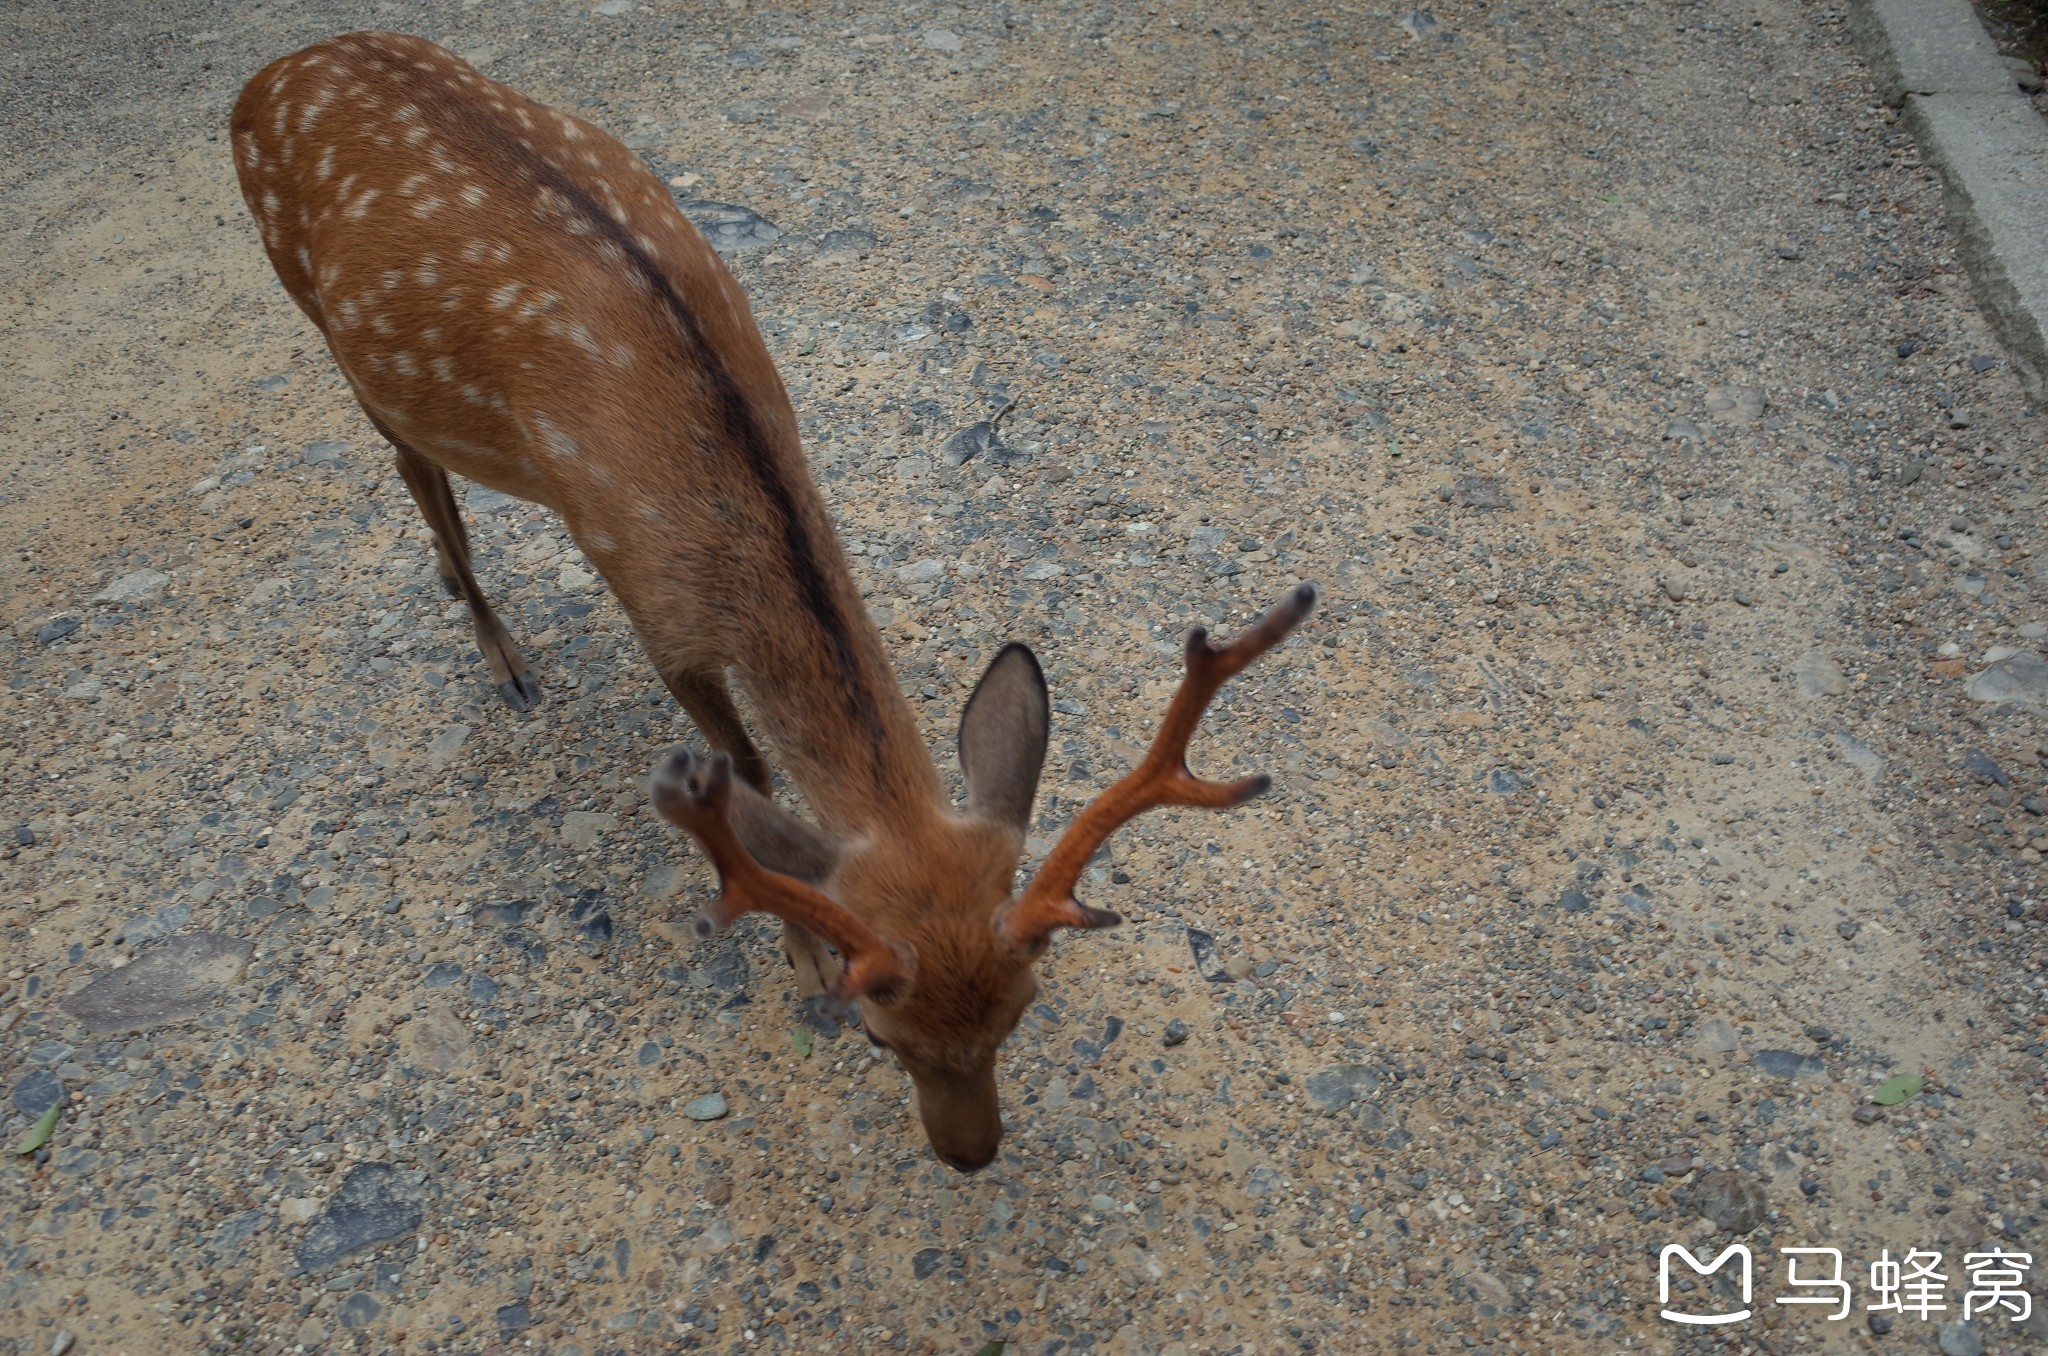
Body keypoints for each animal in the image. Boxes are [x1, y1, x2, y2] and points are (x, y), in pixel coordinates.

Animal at [235, 34, 1310, 1179]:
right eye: (882, 1036)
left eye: (1018, 1013)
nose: (971, 1157)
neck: (733, 499)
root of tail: (270, 73)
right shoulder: (651, 607)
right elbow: (744, 770)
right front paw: (796, 952)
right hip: (323, 319)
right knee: (415, 474)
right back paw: (503, 657)